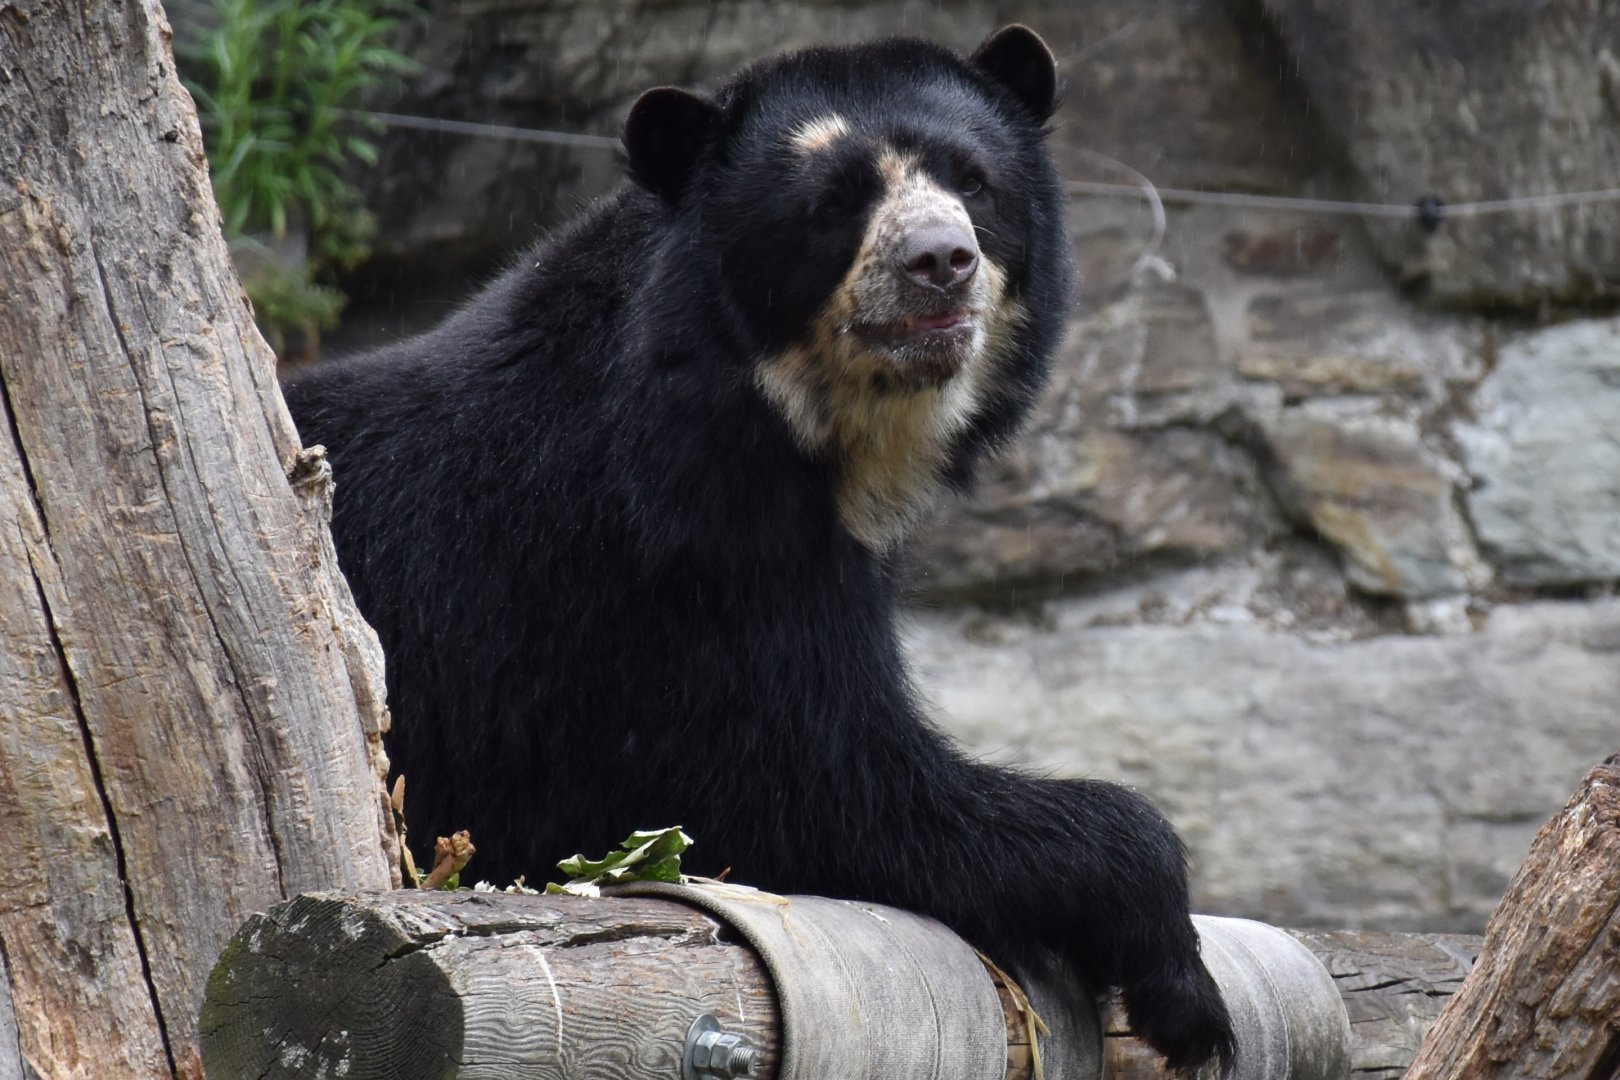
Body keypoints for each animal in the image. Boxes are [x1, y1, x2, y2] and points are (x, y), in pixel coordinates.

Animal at [282, 26, 1234, 1070]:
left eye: (974, 180)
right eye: (832, 204)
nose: (941, 259)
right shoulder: (664, 573)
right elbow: (822, 790)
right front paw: (1186, 992)